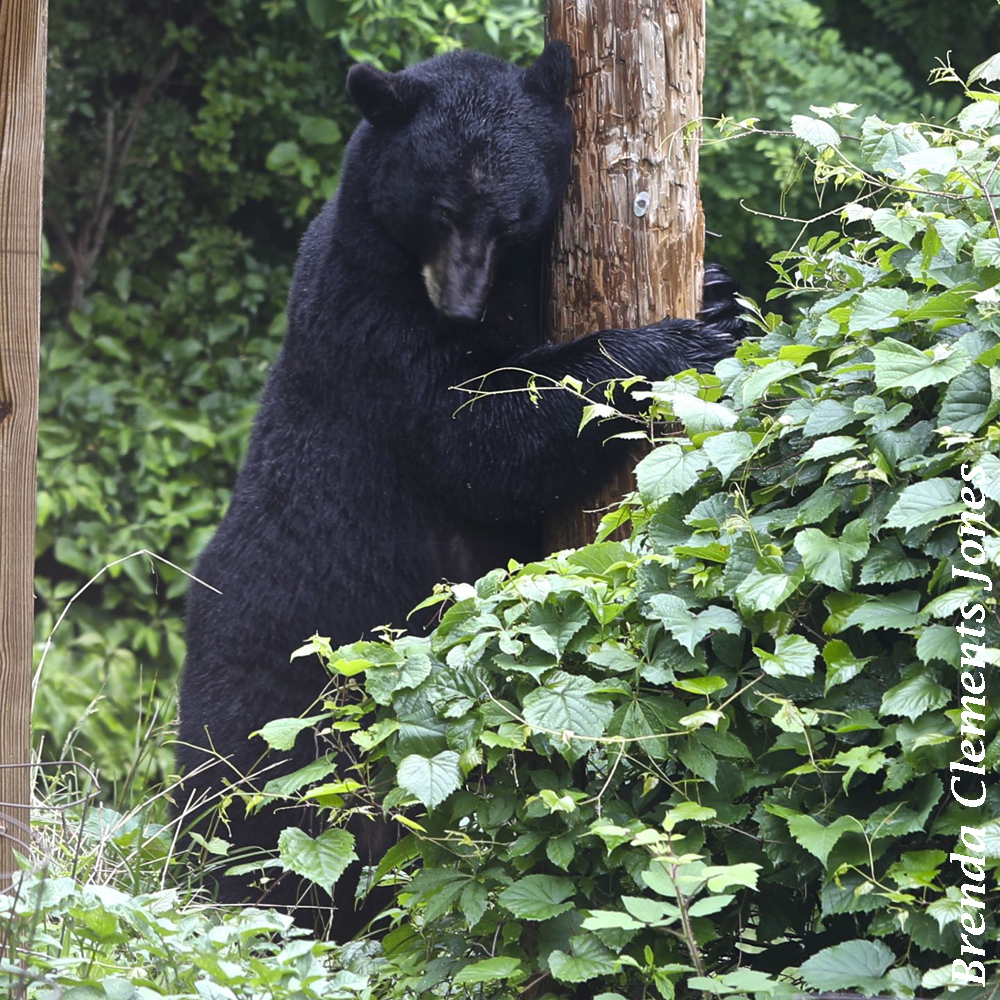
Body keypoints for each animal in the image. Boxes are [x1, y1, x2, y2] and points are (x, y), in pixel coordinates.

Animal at [175, 41, 745, 942]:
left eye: (510, 217)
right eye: (437, 209)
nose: (460, 299)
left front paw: (723, 294)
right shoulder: (368, 321)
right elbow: (476, 433)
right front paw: (670, 341)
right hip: (287, 718)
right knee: (267, 832)